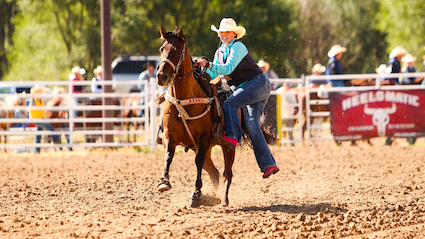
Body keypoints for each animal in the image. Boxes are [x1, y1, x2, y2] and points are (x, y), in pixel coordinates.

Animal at [156, 27, 235, 207]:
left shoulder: (204, 137)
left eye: (178, 50)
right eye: (162, 49)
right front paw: (164, 182)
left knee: (227, 173)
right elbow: (168, 156)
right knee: (214, 172)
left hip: (227, 145)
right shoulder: (169, 136)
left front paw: (196, 194)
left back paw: (224, 199)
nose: (161, 76)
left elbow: (197, 162)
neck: (183, 99)